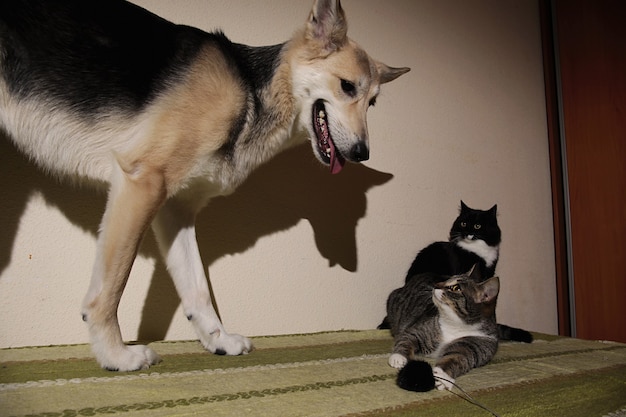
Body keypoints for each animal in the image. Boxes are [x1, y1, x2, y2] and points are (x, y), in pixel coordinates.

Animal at [0, 0, 408, 370]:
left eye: (373, 102)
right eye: (347, 87)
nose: (362, 153)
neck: (251, 90)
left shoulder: (174, 209)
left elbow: (197, 289)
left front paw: (219, 341)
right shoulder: (143, 184)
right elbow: (110, 289)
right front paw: (115, 356)